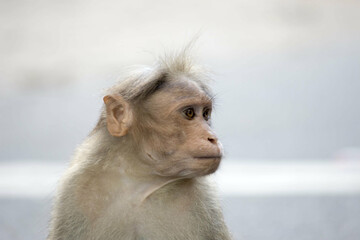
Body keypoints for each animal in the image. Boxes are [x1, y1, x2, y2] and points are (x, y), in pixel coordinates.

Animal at [47, 51, 232, 240]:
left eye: (205, 114)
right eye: (189, 113)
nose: (212, 138)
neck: (138, 183)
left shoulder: (204, 198)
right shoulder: (76, 191)